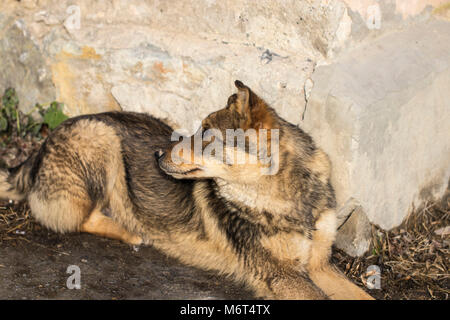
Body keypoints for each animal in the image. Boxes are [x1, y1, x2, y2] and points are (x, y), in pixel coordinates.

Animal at [0, 80, 372, 300]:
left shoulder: (320, 266)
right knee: (78, 218)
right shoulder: (282, 274)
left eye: (206, 134)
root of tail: (41, 145)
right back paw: (129, 230)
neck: (288, 199)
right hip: (100, 139)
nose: (157, 154)